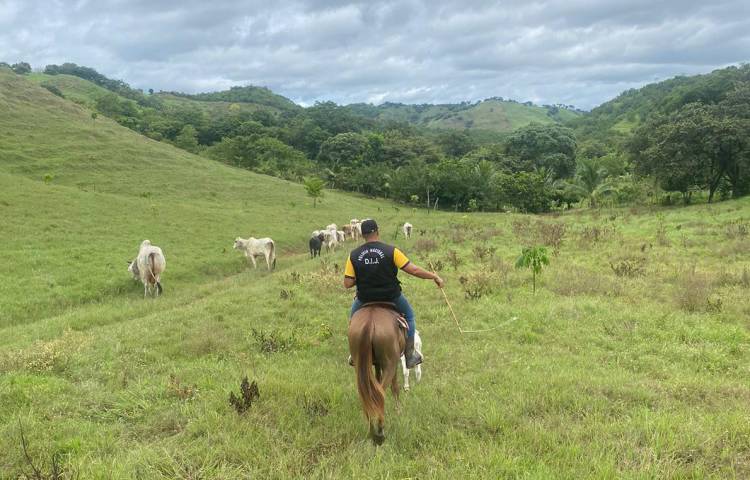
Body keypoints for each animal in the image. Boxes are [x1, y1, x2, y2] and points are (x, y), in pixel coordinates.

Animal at [348, 306, 406, 444]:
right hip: (390, 363)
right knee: (381, 393)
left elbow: (377, 379)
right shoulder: (392, 364)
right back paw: (380, 432)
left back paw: (371, 431)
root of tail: (369, 322)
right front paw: (399, 411)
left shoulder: (377, 364)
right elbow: (395, 388)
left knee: (366, 395)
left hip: (359, 365)